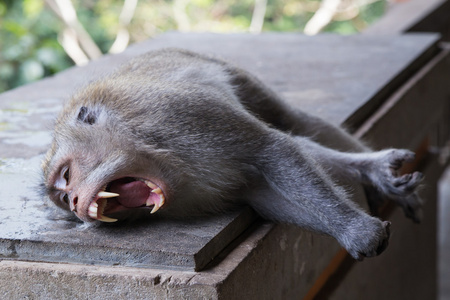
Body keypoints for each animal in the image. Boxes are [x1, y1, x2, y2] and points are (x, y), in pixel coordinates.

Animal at [40, 47, 424, 260]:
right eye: (63, 199)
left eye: (66, 176)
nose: (75, 201)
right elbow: (266, 191)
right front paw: (349, 229)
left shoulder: (176, 117)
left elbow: (271, 149)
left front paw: (359, 231)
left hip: (229, 72)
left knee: (294, 122)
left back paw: (377, 169)